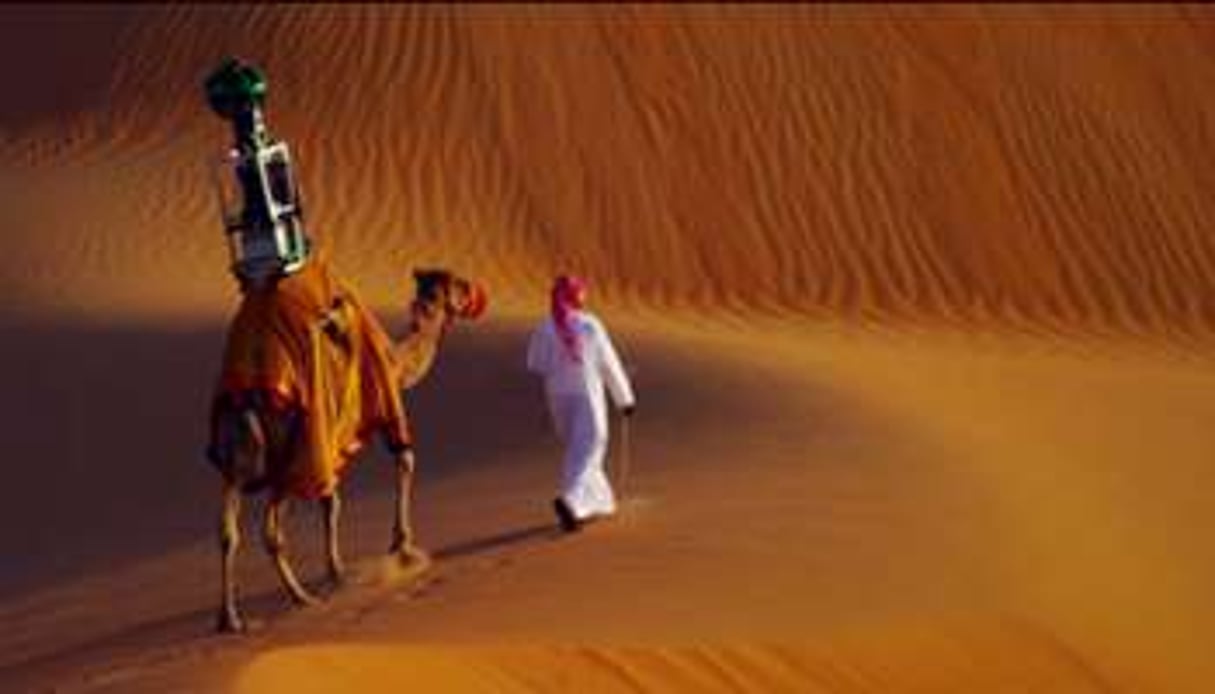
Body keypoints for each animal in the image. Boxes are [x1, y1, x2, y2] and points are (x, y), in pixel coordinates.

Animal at [210, 263, 488, 632]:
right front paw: (397, 547)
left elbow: (331, 502)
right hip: (287, 450)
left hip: (239, 459)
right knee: (270, 530)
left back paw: (233, 616)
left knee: (230, 530)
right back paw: (300, 598)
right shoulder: (379, 408)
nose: (477, 293)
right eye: (458, 283)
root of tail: (246, 400)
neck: (396, 360)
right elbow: (402, 461)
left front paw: (341, 571)